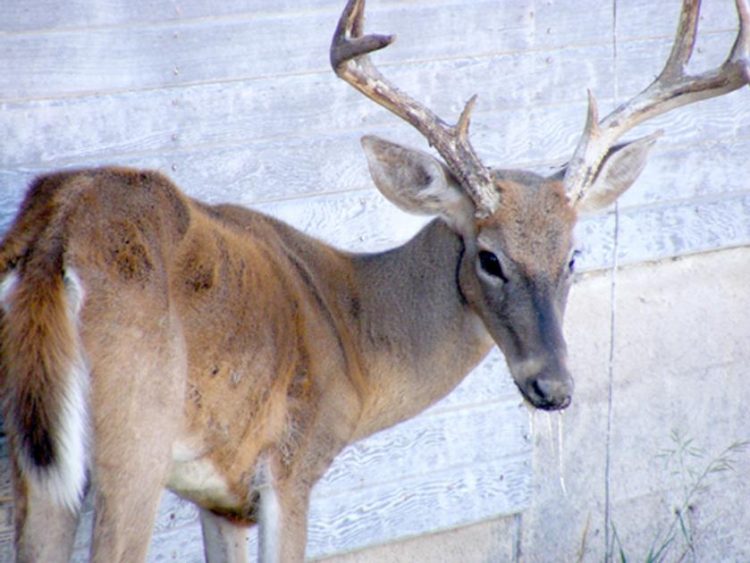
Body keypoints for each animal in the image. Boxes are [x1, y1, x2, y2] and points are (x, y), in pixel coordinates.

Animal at [0, 0, 747, 561]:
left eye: (573, 254)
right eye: (489, 257)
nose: (554, 388)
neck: (353, 336)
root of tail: (59, 232)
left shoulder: (225, 496)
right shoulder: (291, 466)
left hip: (39, 458)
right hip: (135, 437)